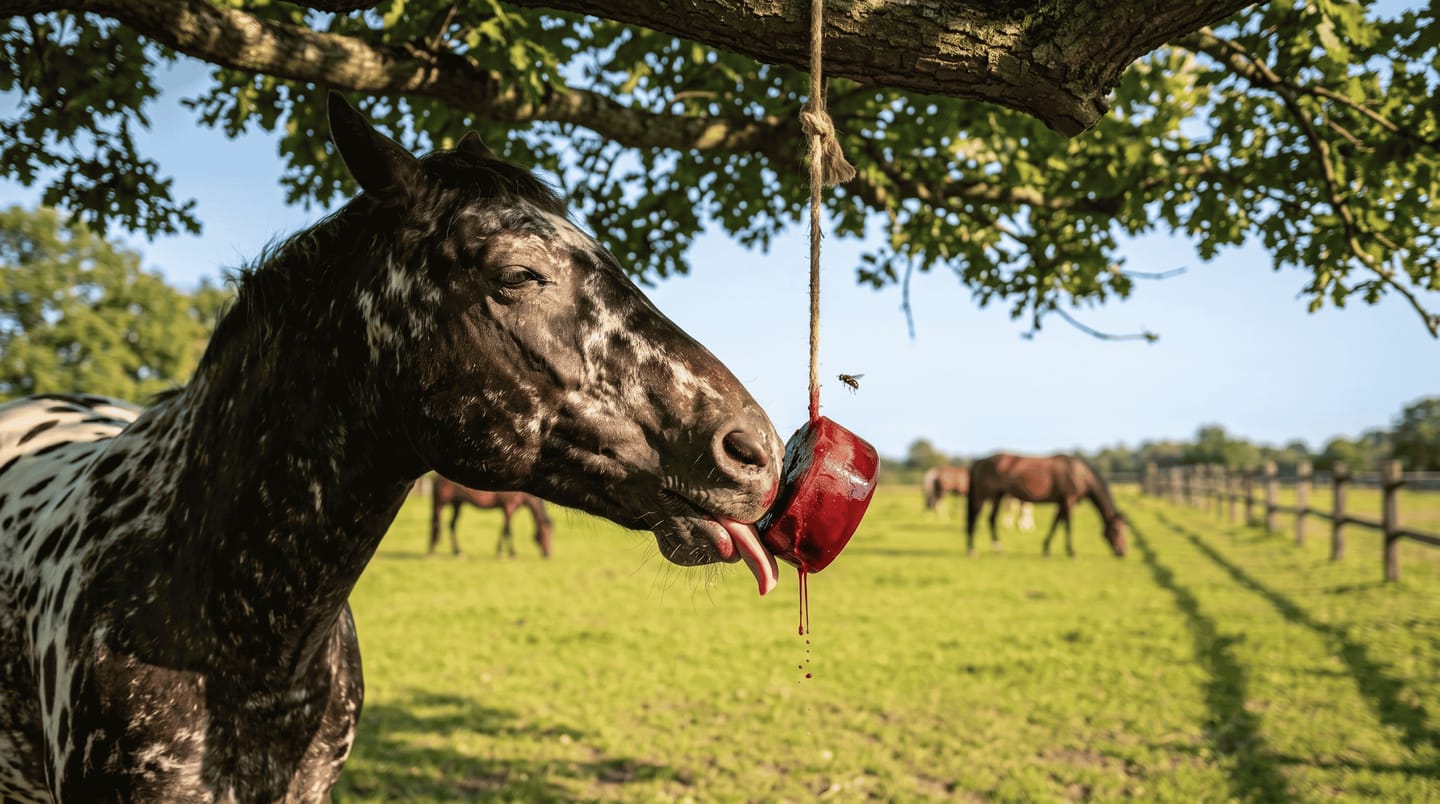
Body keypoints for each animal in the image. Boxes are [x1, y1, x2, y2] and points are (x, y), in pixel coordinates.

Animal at [964, 453, 1126, 557]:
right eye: (1117, 529)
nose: (1123, 552)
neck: (1079, 474)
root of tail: (980, 461)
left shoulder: (1061, 503)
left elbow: (1055, 524)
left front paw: (1046, 548)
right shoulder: (1069, 500)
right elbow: (1068, 525)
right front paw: (1071, 551)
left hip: (998, 496)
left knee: (991, 519)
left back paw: (998, 549)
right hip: (984, 496)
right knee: (974, 518)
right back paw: (972, 550)